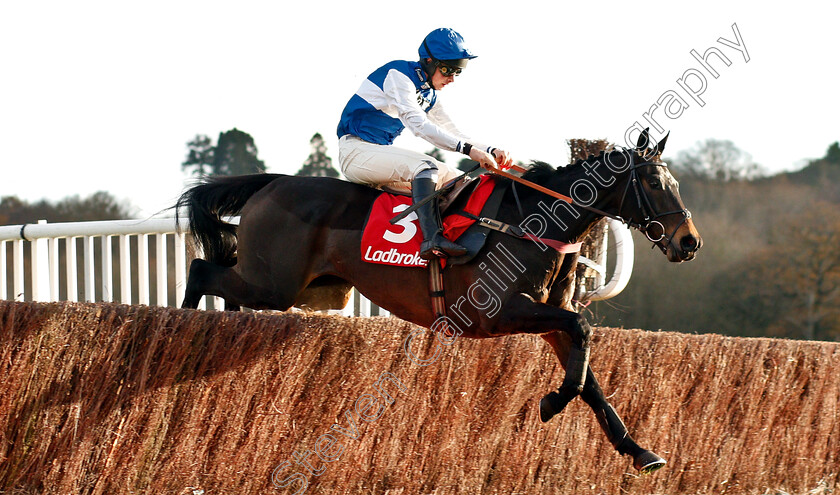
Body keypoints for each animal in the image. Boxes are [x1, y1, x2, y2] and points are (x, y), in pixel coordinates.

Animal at [176, 129, 704, 476]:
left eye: (676, 182)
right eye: (654, 183)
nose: (689, 242)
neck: (532, 222)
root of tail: (270, 182)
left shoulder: (551, 320)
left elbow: (588, 374)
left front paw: (639, 450)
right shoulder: (498, 313)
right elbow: (583, 333)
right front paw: (552, 402)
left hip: (307, 286)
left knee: (223, 279)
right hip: (275, 283)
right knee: (201, 268)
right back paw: (184, 328)